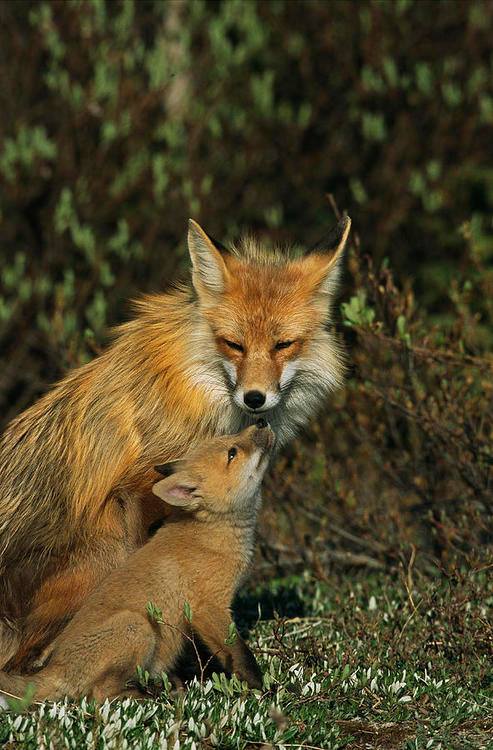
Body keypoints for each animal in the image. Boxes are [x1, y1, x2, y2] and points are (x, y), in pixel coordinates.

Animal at [0, 216, 350, 668]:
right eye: (233, 344)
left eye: (283, 345)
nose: (255, 398)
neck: (201, 386)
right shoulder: (137, 489)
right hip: (106, 543)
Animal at [0, 424, 272, 704]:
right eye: (232, 452)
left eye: (231, 438)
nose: (261, 423)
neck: (212, 534)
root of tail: (55, 667)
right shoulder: (209, 607)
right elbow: (241, 655)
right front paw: (259, 687)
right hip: (137, 626)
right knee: (99, 694)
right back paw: (148, 695)